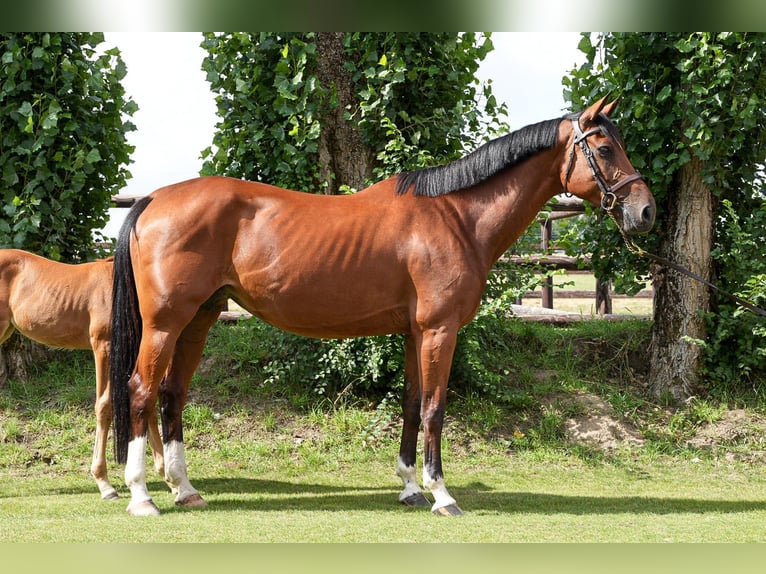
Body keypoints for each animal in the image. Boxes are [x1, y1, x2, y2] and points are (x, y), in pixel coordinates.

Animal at [110, 96, 655, 516]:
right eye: (605, 148)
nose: (646, 211)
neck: (456, 217)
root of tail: (153, 199)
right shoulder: (440, 330)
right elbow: (435, 408)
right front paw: (442, 495)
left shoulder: (415, 333)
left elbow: (412, 404)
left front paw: (411, 487)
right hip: (165, 324)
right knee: (140, 391)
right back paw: (141, 496)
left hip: (198, 319)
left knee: (172, 395)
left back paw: (184, 490)